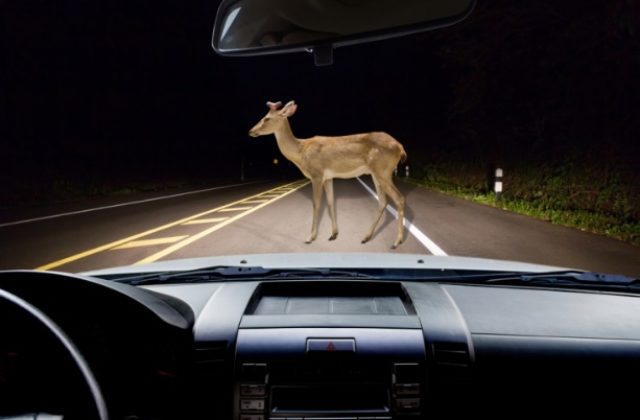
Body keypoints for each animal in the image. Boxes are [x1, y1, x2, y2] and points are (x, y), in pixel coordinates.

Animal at [248, 100, 408, 248]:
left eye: (267, 118)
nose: (251, 131)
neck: (301, 151)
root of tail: (400, 147)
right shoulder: (328, 177)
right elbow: (331, 202)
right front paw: (333, 234)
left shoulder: (317, 174)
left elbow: (316, 203)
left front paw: (310, 237)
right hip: (376, 173)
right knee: (383, 201)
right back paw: (366, 237)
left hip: (383, 171)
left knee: (399, 198)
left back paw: (396, 241)